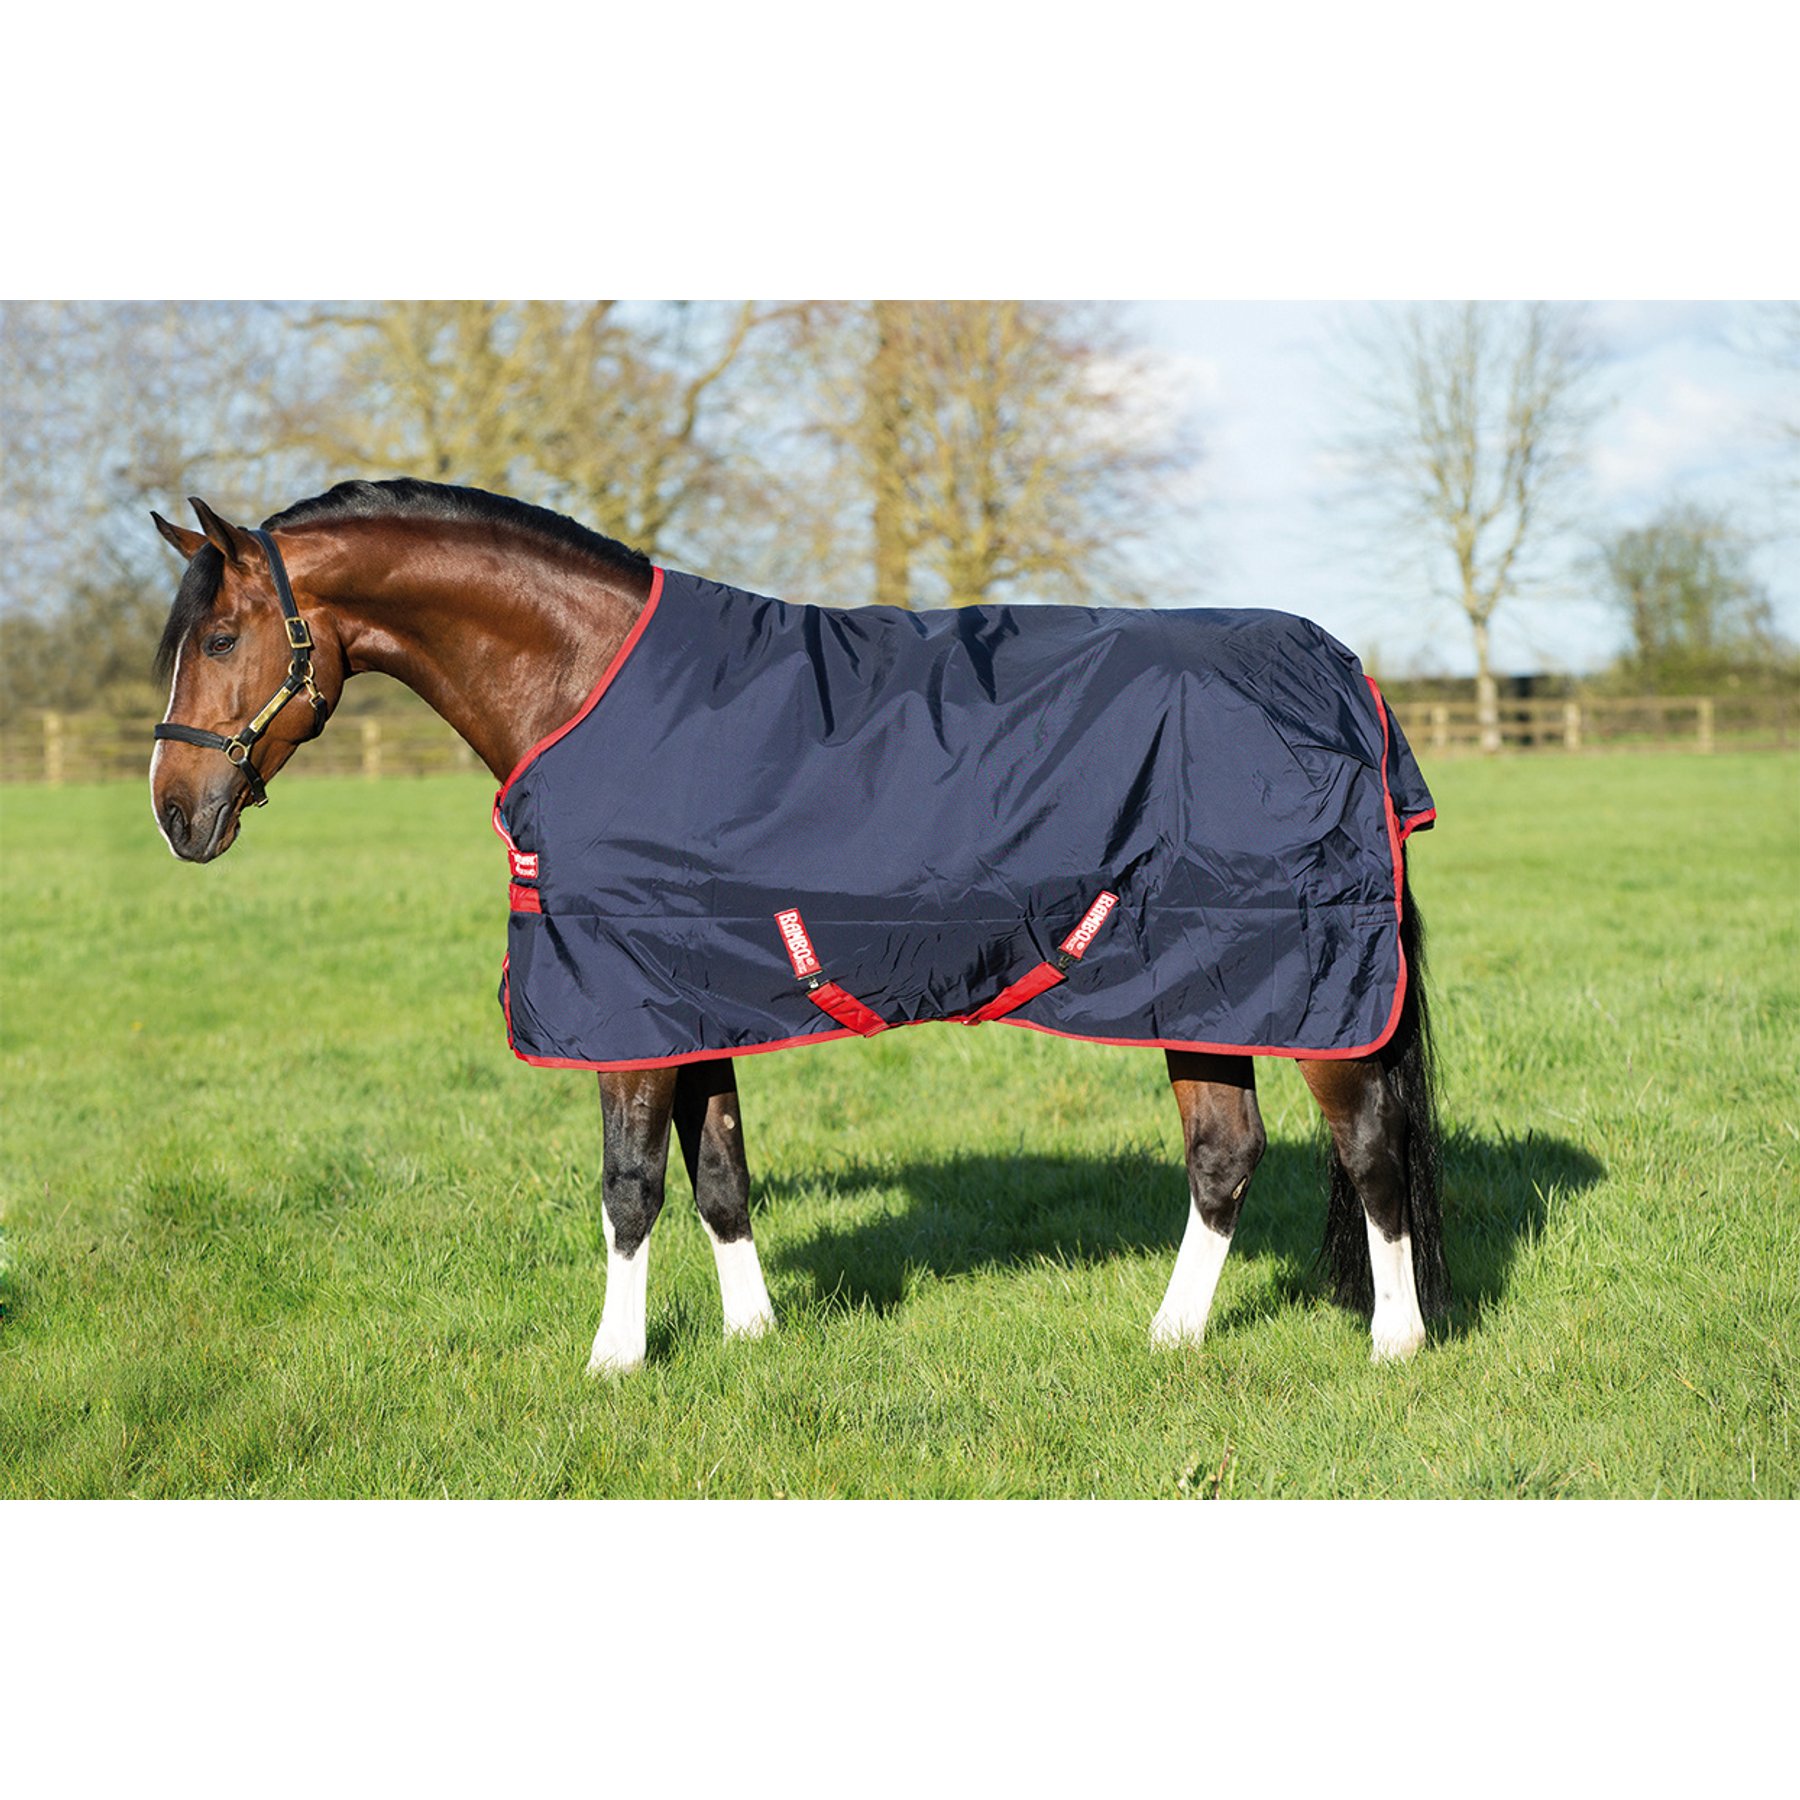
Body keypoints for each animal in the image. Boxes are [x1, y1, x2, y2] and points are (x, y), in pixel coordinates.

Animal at [147, 479, 1449, 1373]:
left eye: (220, 639)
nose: (174, 815)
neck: (584, 682)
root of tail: (1350, 679)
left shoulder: (625, 1000)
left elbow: (630, 1184)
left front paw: (614, 1364)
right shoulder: (693, 995)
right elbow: (719, 1174)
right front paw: (753, 1336)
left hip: (1310, 979)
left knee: (1369, 1148)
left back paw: (1396, 1343)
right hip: (1201, 981)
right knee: (1226, 1154)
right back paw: (1170, 1338)